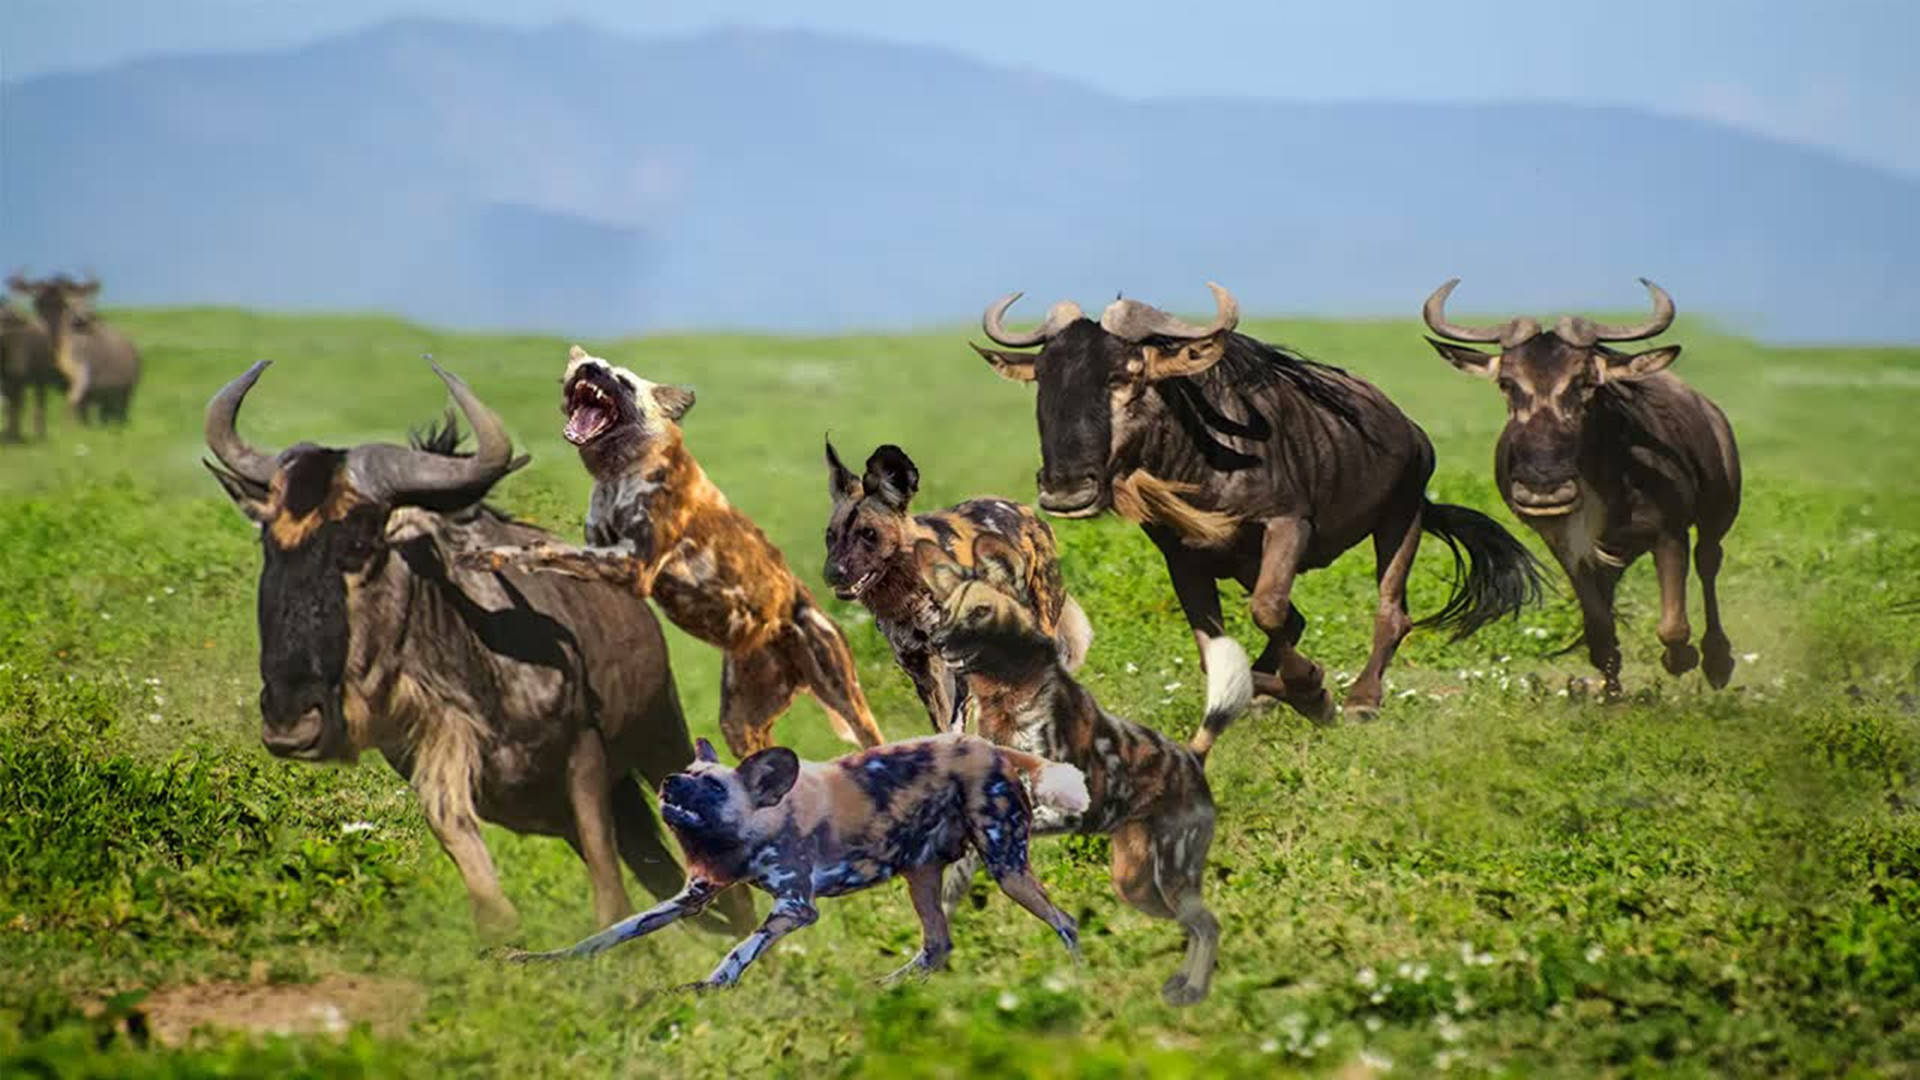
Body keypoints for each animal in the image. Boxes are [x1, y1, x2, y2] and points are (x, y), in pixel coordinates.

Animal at [456, 343, 883, 757]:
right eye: (588, 366)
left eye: (622, 381)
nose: (590, 370)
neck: (616, 473)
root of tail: (805, 602)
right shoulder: (601, 550)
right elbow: (554, 553)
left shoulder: (633, 565)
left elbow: (542, 547)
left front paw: (488, 554)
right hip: (741, 723)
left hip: (846, 699)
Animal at [510, 726, 1090, 991]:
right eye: (686, 774)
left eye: (711, 787)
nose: (669, 781)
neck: (753, 830)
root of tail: (990, 747)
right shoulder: (690, 897)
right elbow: (608, 935)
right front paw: (540, 960)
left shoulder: (795, 907)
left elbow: (738, 951)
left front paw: (703, 990)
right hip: (920, 876)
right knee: (936, 946)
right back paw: (884, 992)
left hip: (1006, 867)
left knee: (1067, 922)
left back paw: (1083, 978)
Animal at [825, 438, 1098, 730]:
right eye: (830, 536)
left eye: (869, 534)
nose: (832, 573)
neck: (909, 597)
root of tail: (1027, 512)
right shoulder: (921, 670)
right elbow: (942, 726)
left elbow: (956, 725)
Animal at [925, 534, 1259, 1006]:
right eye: (944, 612)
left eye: (980, 611)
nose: (935, 641)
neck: (1004, 697)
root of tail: (1192, 757)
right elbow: (951, 891)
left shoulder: (1065, 813)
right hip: (1137, 887)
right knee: (1194, 924)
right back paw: (1182, 984)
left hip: (1173, 875)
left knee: (1208, 925)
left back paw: (1194, 990)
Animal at [1428, 276, 1743, 691]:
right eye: (1507, 383)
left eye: (1585, 382)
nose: (1543, 490)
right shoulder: (1568, 547)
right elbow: (1601, 629)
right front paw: (1611, 696)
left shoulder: (1670, 533)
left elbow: (1673, 625)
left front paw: (1681, 660)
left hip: (1719, 512)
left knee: (1709, 561)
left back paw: (1718, 662)